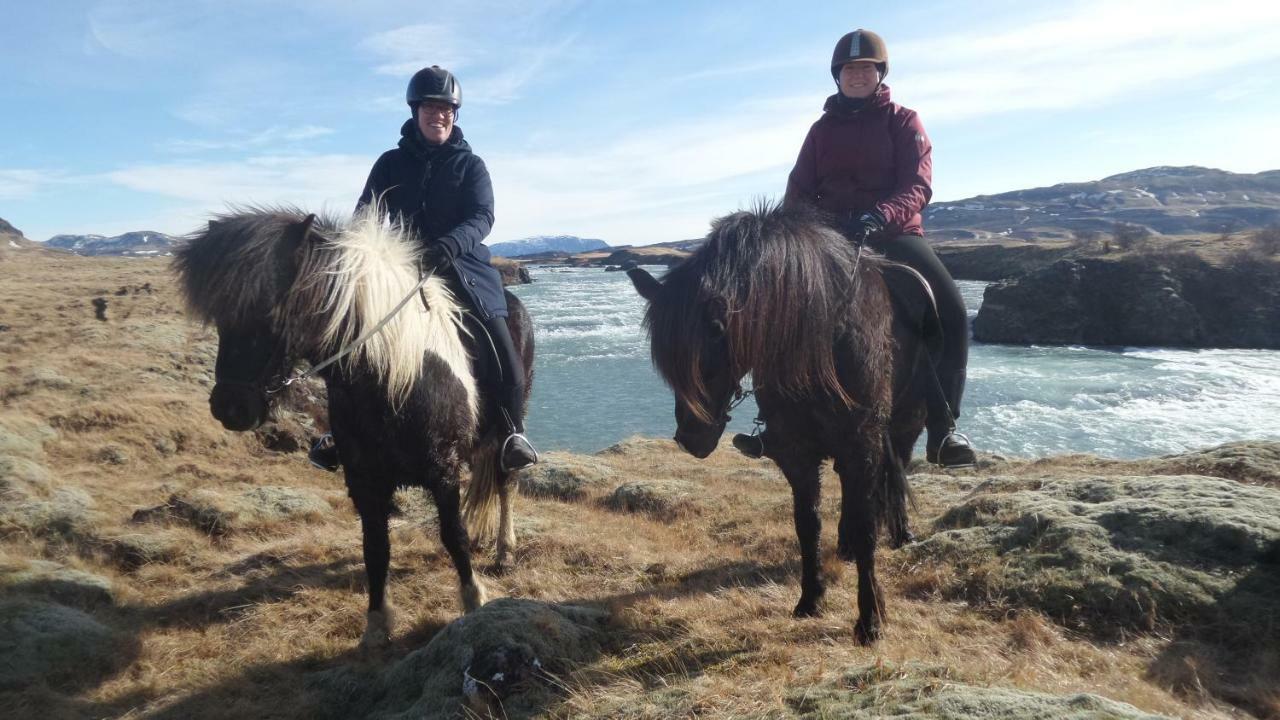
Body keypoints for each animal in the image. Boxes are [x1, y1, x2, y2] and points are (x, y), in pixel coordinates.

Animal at [172, 204, 532, 648]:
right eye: (221, 317)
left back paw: (504, 549)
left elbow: (454, 536)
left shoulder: (443, 470)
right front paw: (376, 625)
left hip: (506, 428)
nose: (230, 407)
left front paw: (473, 601)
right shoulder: (362, 478)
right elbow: (375, 548)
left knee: (505, 482)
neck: (395, 374)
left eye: (270, 312)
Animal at [627, 198, 931, 640]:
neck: (820, 346)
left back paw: (901, 532)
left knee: (892, 479)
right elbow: (808, 524)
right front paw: (810, 599)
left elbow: (866, 526)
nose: (691, 437)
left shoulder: (863, 445)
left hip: (904, 427)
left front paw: (870, 619)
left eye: (717, 334)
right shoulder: (797, 452)